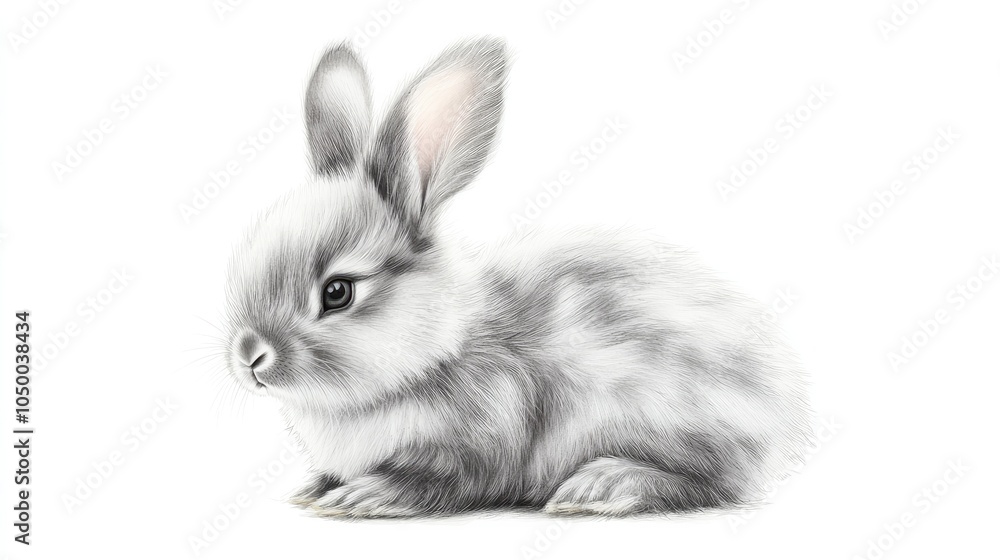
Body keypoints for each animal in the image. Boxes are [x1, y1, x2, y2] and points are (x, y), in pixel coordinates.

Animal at [222, 37, 811, 518]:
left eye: (338, 292)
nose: (250, 355)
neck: (438, 348)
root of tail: (783, 422)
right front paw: (313, 490)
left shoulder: (488, 429)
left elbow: (446, 480)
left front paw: (365, 495)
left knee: (713, 483)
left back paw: (604, 485)